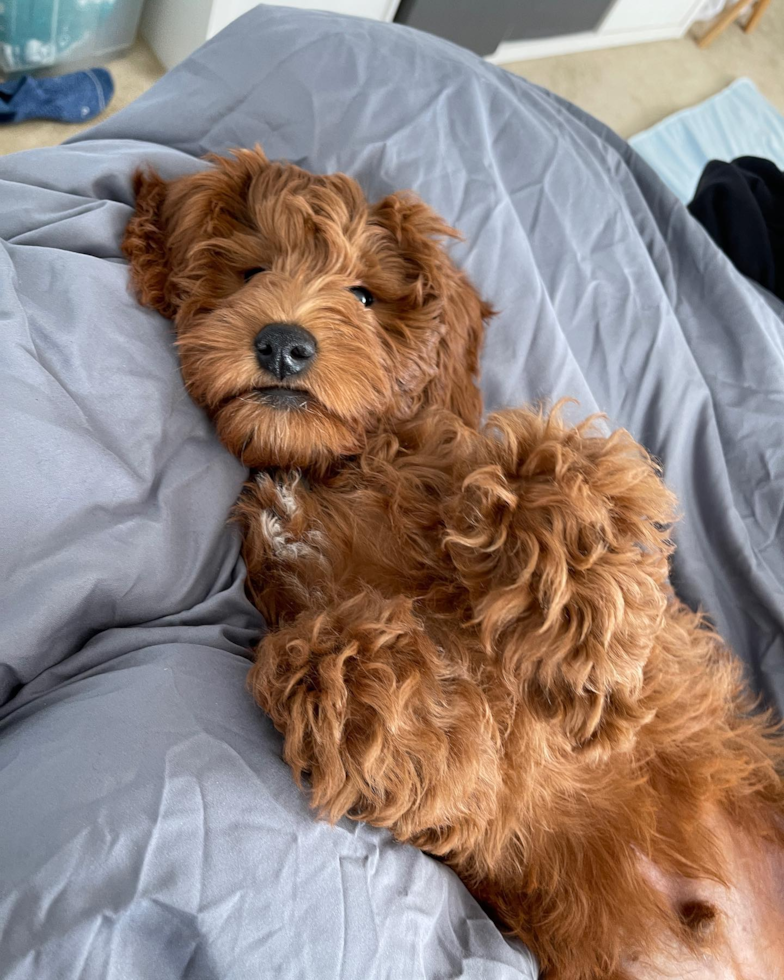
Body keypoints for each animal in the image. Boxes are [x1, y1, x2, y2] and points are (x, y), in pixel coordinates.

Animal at [122, 147, 784, 980]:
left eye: (364, 296)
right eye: (251, 272)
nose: (283, 343)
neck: (337, 469)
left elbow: (554, 466)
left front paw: (578, 652)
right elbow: (327, 666)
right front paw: (405, 684)